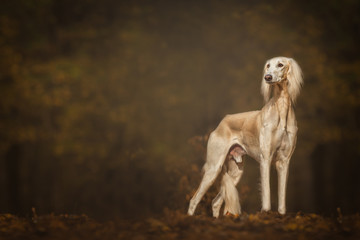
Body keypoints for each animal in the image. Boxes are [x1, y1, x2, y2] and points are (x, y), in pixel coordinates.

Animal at [188, 56, 304, 218]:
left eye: (280, 64)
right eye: (268, 66)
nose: (267, 77)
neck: (281, 108)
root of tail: (221, 123)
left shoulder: (284, 161)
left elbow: (282, 196)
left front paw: (281, 214)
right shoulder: (265, 158)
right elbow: (266, 191)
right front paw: (266, 213)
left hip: (236, 172)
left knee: (215, 202)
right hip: (214, 167)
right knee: (194, 199)